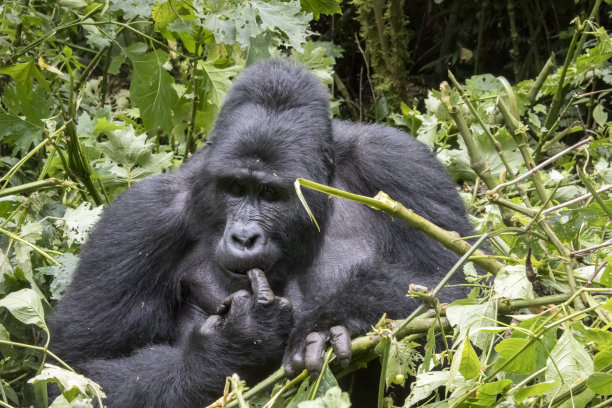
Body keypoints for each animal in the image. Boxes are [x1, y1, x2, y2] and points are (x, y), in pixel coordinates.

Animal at [51, 59, 474, 406]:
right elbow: (77, 371)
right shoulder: (141, 218)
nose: (244, 238)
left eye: (270, 194)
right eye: (236, 188)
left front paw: (332, 318)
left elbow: (460, 291)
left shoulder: (398, 164)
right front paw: (236, 344)